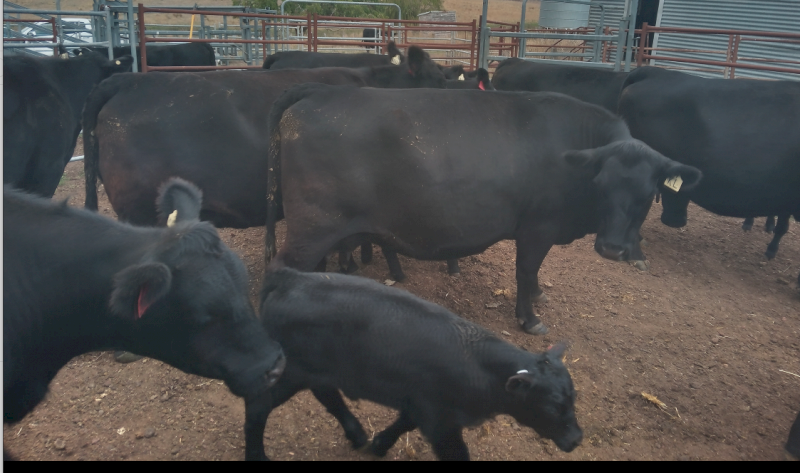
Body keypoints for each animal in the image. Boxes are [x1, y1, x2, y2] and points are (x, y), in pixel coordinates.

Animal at [243, 268, 583, 461]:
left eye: (573, 399)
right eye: (553, 406)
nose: (577, 439)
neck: (479, 366)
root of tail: (290, 278)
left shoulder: (421, 404)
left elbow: (403, 423)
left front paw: (380, 444)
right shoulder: (441, 422)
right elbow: (457, 454)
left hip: (318, 372)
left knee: (328, 395)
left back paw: (357, 435)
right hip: (288, 372)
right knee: (258, 407)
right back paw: (257, 455)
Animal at [264, 84, 702, 335]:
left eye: (647, 194)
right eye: (602, 184)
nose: (611, 248)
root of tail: (314, 94)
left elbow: (535, 274)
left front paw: (539, 296)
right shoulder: (537, 227)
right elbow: (526, 270)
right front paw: (529, 319)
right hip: (313, 226)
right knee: (283, 267)